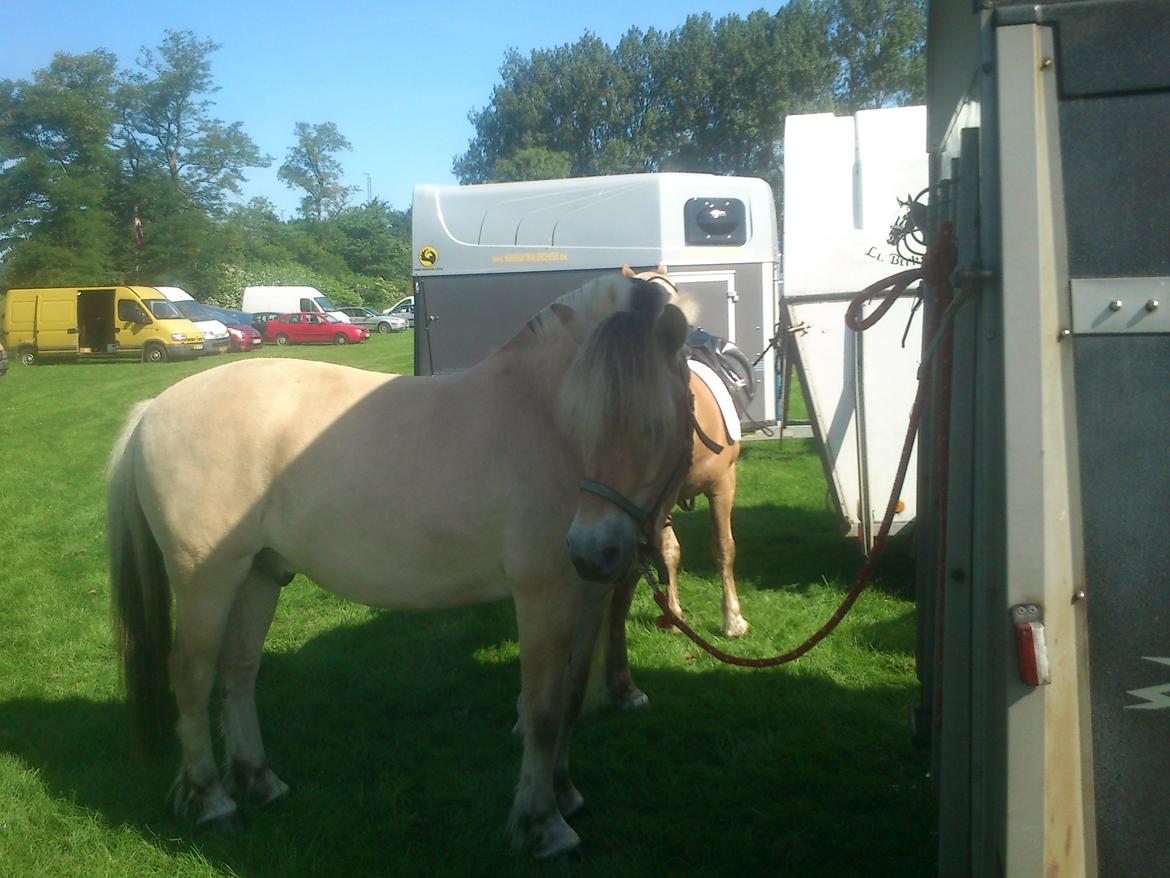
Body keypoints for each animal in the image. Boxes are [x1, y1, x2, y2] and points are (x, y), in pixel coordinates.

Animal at [107, 273, 692, 861]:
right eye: (582, 424)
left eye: (655, 428)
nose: (592, 551)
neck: (540, 416)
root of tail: (152, 410)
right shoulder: (542, 597)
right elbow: (543, 711)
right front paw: (543, 825)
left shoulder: (587, 596)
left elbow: (571, 698)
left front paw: (566, 792)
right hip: (206, 580)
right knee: (192, 674)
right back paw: (211, 801)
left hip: (256, 575)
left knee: (238, 670)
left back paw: (258, 781)